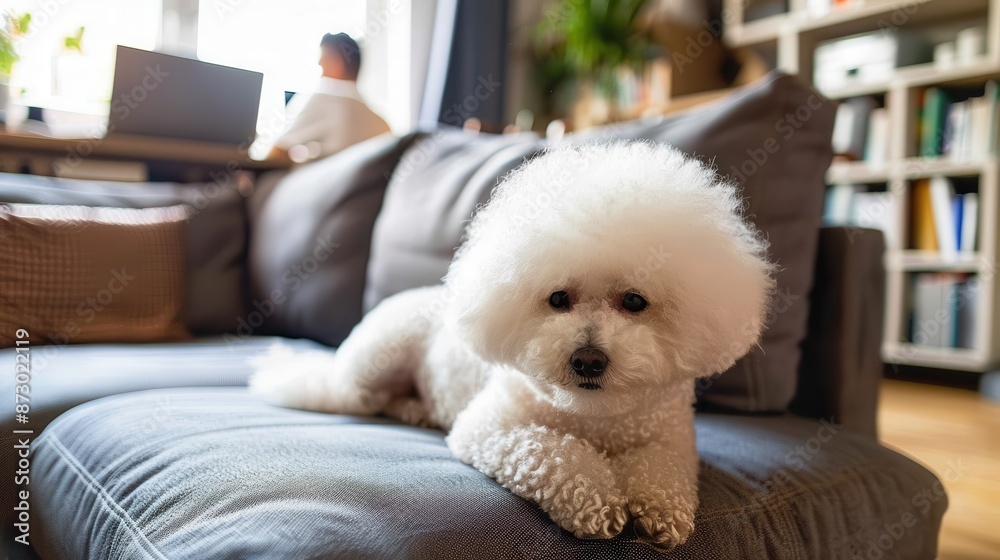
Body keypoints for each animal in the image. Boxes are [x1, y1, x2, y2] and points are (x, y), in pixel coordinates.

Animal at [251, 140, 774, 548]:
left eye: (634, 300)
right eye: (558, 298)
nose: (587, 360)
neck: (595, 419)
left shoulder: (670, 440)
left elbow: (664, 473)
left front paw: (662, 515)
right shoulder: (492, 426)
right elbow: (552, 454)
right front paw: (599, 501)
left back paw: (417, 409)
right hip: (375, 361)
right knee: (349, 394)